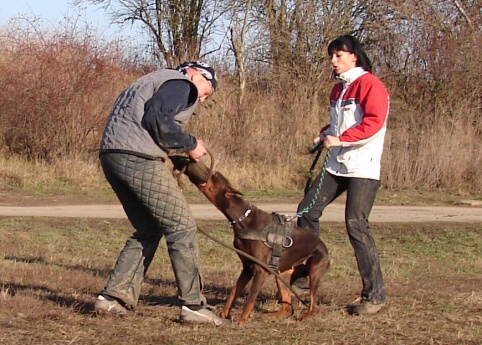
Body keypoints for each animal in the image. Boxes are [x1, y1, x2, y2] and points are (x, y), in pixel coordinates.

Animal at [198, 171, 330, 324]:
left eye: (214, 176)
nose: (213, 171)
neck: (243, 219)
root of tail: (323, 246)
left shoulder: (260, 270)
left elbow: (250, 298)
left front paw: (241, 320)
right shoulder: (247, 268)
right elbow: (233, 293)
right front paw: (223, 315)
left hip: (314, 271)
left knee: (312, 304)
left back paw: (305, 315)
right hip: (281, 273)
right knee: (288, 308)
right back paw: (272, 315)